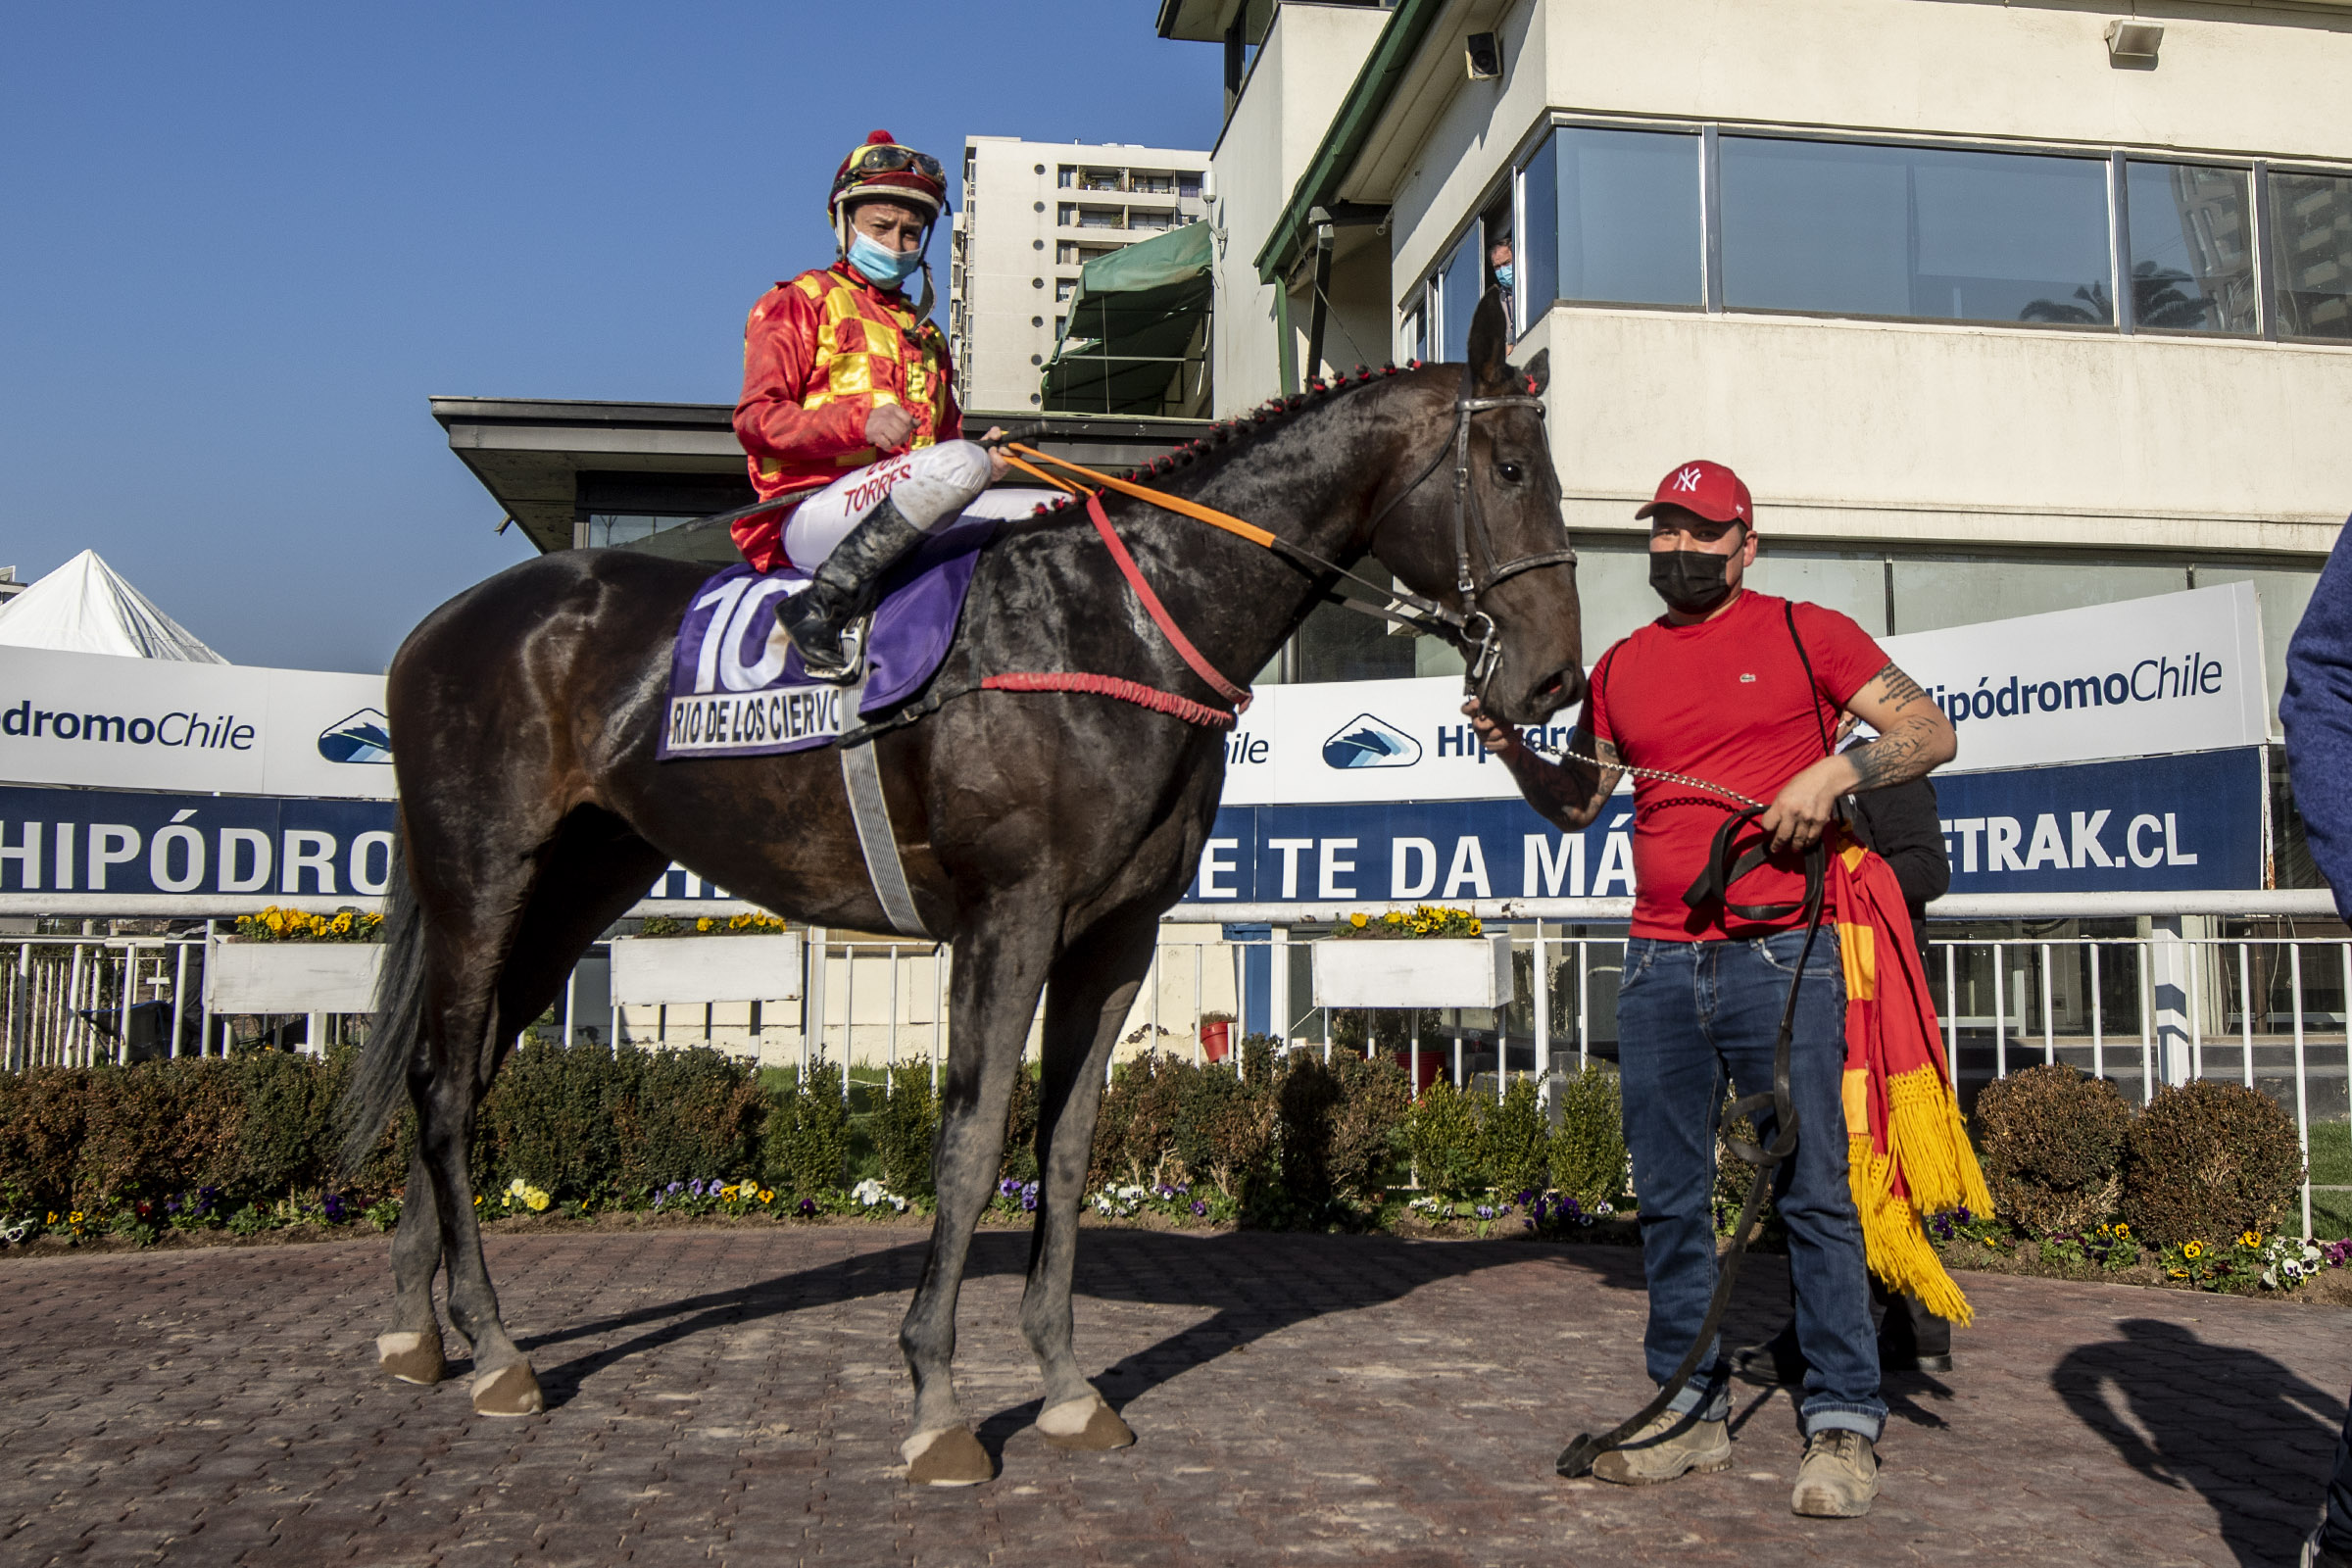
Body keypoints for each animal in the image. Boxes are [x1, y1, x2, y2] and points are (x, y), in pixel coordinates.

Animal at [337, 291, 1586, 1486]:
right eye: (1512, 472)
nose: (1555, 679)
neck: (1115, 624)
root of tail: (438, 628)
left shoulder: (1116, 937)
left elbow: (1068, 1151)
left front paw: (1068, 1387)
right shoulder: (1010, 916)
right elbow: (974, 1142)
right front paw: (938, 1402)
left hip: (577, 884)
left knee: (460, 1071)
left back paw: (418, 1330)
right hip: (482, 873)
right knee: (440, 1084)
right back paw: (499, 1348)